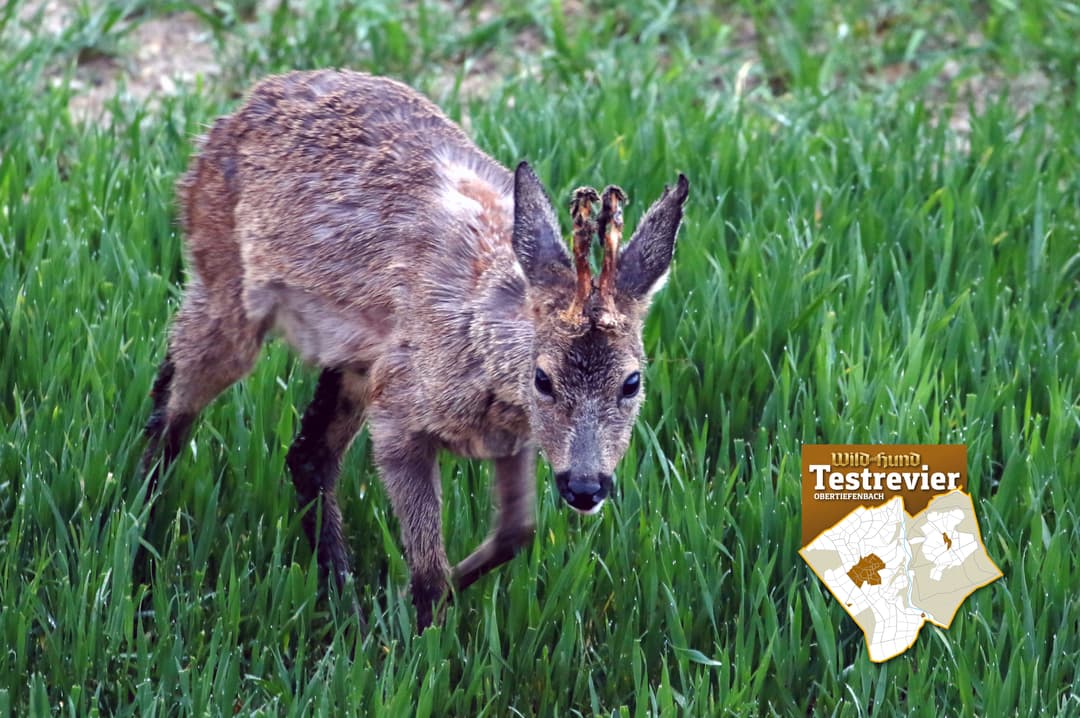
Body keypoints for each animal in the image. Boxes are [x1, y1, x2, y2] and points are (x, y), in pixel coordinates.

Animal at [143, 68, 686, 626]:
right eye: (543, 379)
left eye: (632, 382)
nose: (584, 488)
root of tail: (228, 118)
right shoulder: (399, 422)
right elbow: (429, 568)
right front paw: (415, 628)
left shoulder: (512, 440)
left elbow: (515, 533)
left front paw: (401, 604)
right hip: (227, 291)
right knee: (173, 405)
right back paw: (142, 539)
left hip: (354, 363)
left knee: (306, 453)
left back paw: (342, 597)